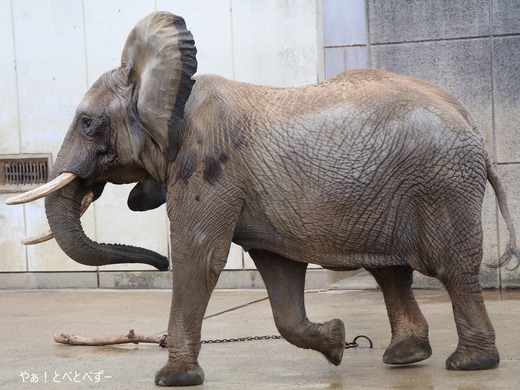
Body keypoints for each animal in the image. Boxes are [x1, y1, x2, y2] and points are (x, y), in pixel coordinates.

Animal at [8, 10, 520, 386]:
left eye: (89, 123)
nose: (156, 263)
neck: (170, 87)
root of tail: (471, 124)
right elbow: (278, 273)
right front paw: (336, 341)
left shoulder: (208, 162)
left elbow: (199, 256)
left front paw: (172, 380)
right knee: (391, 272)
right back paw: (404, 357)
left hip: (443, 183)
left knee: (451, 269)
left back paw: (468, 365)